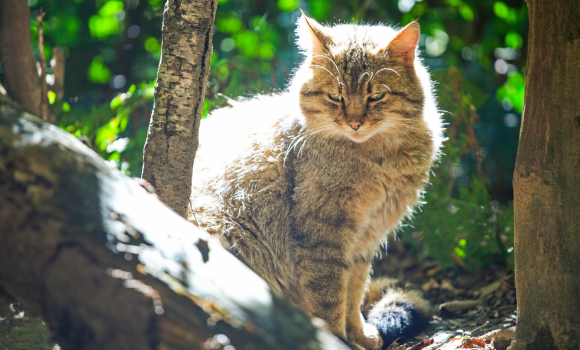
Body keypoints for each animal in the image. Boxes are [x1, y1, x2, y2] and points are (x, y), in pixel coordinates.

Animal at [188, 13, 442, 350]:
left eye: (376, 96)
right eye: (336, 96)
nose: (355, 123)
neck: (378, 158)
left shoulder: (366, 237)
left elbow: (354, 293)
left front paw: (358, 335)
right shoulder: (324, 233)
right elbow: (330, 297)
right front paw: (336, 340)